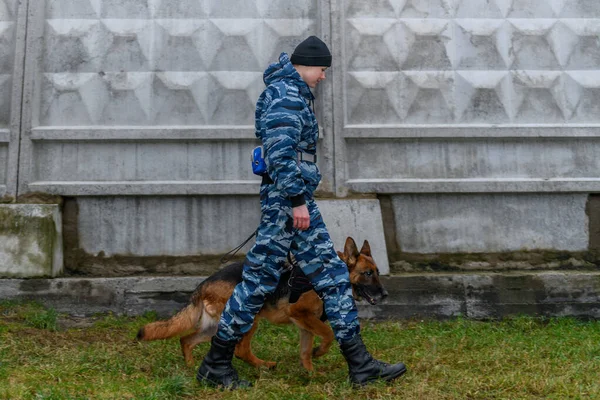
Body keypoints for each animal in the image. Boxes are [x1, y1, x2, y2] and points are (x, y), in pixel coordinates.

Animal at [137, 238, 390, 372]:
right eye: (367, 274)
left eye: (378, 272)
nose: (386, 294)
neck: (329, 275)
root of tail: (204, 283)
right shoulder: (301, 314)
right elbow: (327, 334)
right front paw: (320, 353)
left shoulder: (305, 324)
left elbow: (305, 351)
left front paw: (310, 373)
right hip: (248, 320)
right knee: (240, 350)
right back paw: (262, 366)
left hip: (215, 326)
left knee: (186, 339)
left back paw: (191, 367)